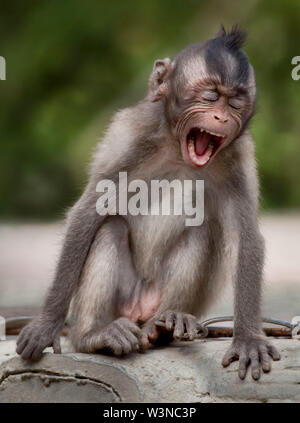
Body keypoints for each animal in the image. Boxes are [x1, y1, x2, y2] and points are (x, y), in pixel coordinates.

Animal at [16, 25, 280, 380]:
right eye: (210, 97)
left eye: (236, 104)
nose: (220, 117)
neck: (179, 149)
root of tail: (139, 309)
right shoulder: (132, 136)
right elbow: (89, 211)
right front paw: (47, 324)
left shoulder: (238, 157)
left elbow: (245, 236)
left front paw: (249, 338)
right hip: (121, 301)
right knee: (111, 227)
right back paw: (95, 336)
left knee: (199, 232)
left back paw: (166, 323)